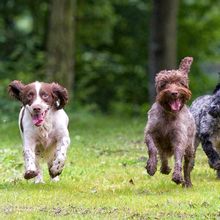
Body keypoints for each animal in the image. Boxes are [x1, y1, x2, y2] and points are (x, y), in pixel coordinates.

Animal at [145, 57, 195, 187]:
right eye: (164, 84)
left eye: (180, 83)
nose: (174, 93)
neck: (168, 114)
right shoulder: (150, 132)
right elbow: (152, 149)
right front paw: (151, 167)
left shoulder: (179, 138)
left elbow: (178, 156)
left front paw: (177, 176)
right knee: (163, 155)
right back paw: (164, 168)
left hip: (190, 148)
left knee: (187, 167)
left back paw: (187, 183)